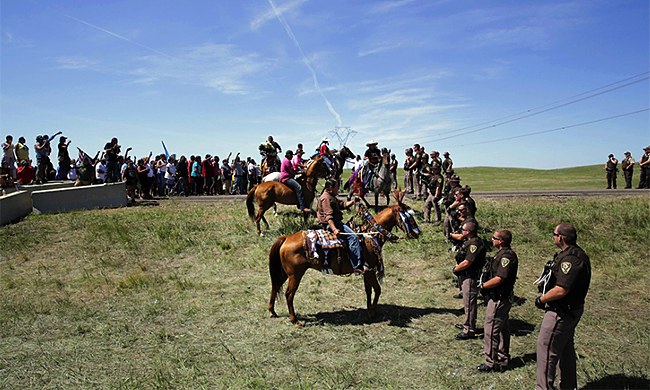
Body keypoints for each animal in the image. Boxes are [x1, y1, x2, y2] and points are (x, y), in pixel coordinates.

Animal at [264, 190, 420, 324]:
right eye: (409, 217)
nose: (417, 233)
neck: (369, 236)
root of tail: (286, 238)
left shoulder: (366, 272)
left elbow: (369, 290)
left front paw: (369, 309)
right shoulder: (370, 271)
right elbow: (377, 290)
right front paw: (372, 312)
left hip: (286, 273)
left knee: (275, 286)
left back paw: (272, 312)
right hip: (295, 274)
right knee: (289, 294)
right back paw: (294, 320)